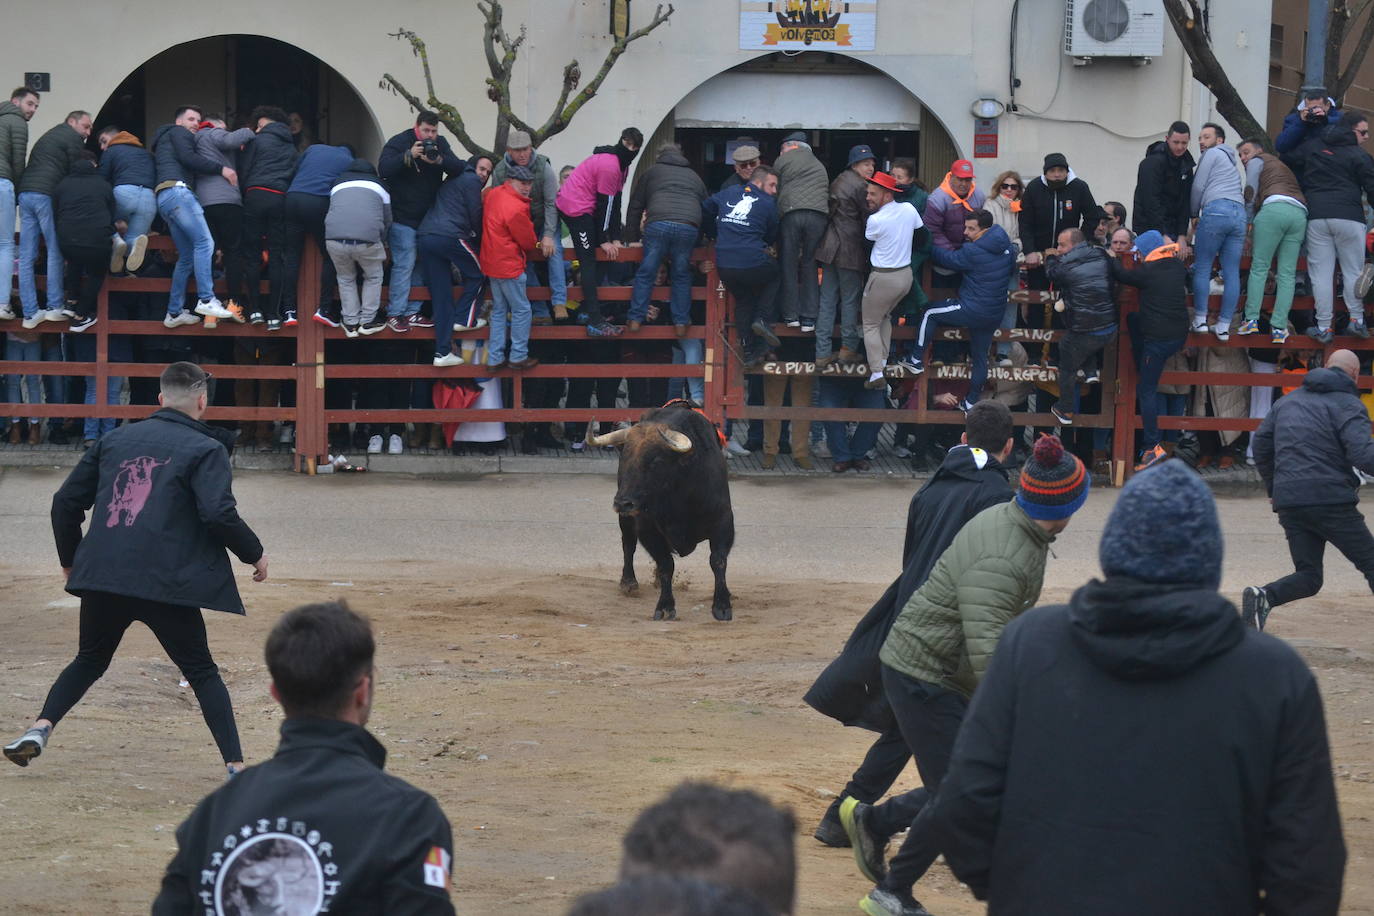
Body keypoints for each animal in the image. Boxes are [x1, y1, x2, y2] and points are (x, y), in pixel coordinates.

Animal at [585, 403, 736, 620]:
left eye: (656, 461)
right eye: (624, 458)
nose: (622, 503)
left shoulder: (723, 521)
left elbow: (718, 561)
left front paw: (722, 605)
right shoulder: (647, 529)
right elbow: (666, 564)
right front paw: (665, 606)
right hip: (626, 521)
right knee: (628, 545)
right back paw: (629, 582)